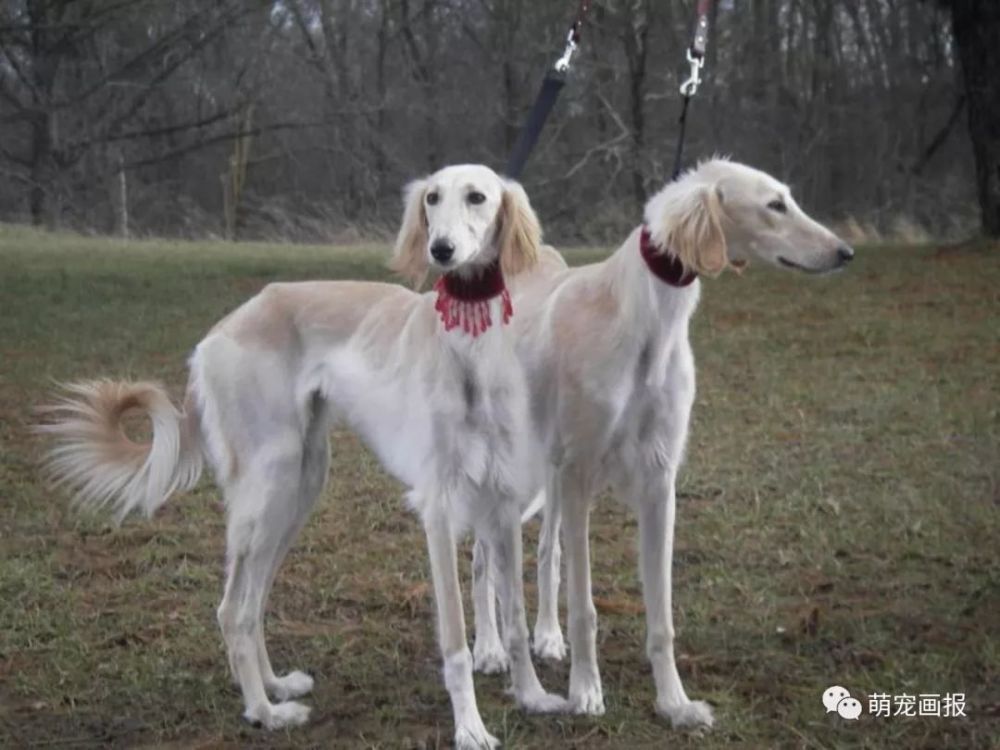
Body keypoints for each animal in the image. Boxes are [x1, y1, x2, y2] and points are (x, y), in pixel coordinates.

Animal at [41, 166, 572, 750]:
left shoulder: (501, 502)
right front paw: (471, 728)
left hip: (300, 486)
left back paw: (275, 687)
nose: (441, 250)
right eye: (432, 198)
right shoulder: (438, 508)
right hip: (270, 485)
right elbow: (455, 640)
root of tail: (218, 332)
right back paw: (264, 712)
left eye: (477, 197)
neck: (470, 350)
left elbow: (516, 616)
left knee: (252, 603)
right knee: (232, 608)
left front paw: (533, 696)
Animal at [472, 157, 856, 728]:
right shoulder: (582, 475)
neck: (643, 321)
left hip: (549, 475)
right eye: (775, 204)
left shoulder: (656, 480)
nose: (845, 252)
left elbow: (661, 615)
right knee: (482, 560)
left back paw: (546, 637)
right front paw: (586, 691)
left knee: (544, 551)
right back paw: (490, 649)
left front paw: (674, 702)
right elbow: (585, 606)